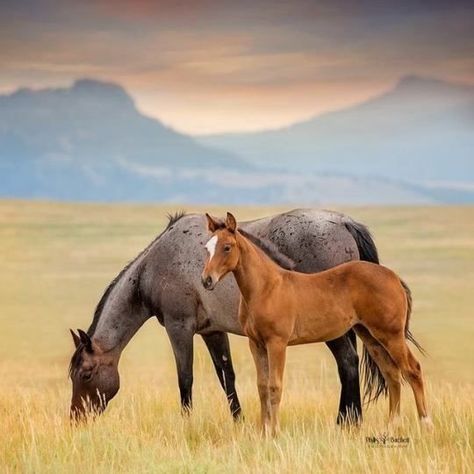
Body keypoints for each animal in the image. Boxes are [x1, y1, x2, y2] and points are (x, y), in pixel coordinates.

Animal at [68, 209, 384, 424]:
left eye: (86, 373)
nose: (75, 418)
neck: (154, 266)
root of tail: (344, 222)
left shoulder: (179, 327)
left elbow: (185, 378)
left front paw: (187, 423)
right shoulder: (212, 331)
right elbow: (226, 376)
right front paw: (238, 420)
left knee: (348, 363)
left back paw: (346, 422)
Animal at [202, 213, 432, 436]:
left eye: (227, 247)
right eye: (206, 248)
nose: (206, 280)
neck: (267, 288)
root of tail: (394, 278)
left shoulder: (277, 343)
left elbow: (275, 386)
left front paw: (274, 432)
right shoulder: (256, 343)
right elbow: (262, 387)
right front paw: (263, 431)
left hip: (391, 335)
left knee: (413, 370)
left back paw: (425, 424)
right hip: (370, 335)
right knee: (392, 374)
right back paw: (391, 427)